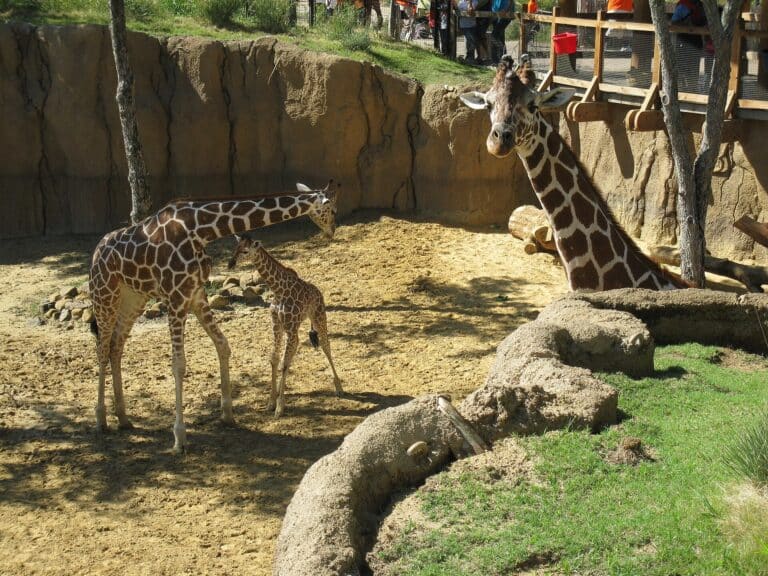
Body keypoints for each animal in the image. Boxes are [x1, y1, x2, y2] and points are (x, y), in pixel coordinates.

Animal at [228, 235, 342, 417]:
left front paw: (280, 407)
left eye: (245, 251)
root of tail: (318, 292)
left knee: (326, 345)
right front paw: (270, 402)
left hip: (318, 316)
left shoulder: (290, 327)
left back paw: (338, 387)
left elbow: (284, 363)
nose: (230, 264)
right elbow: (275, 359)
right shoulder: (277, 325)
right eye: (236, 248)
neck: (278, 289)